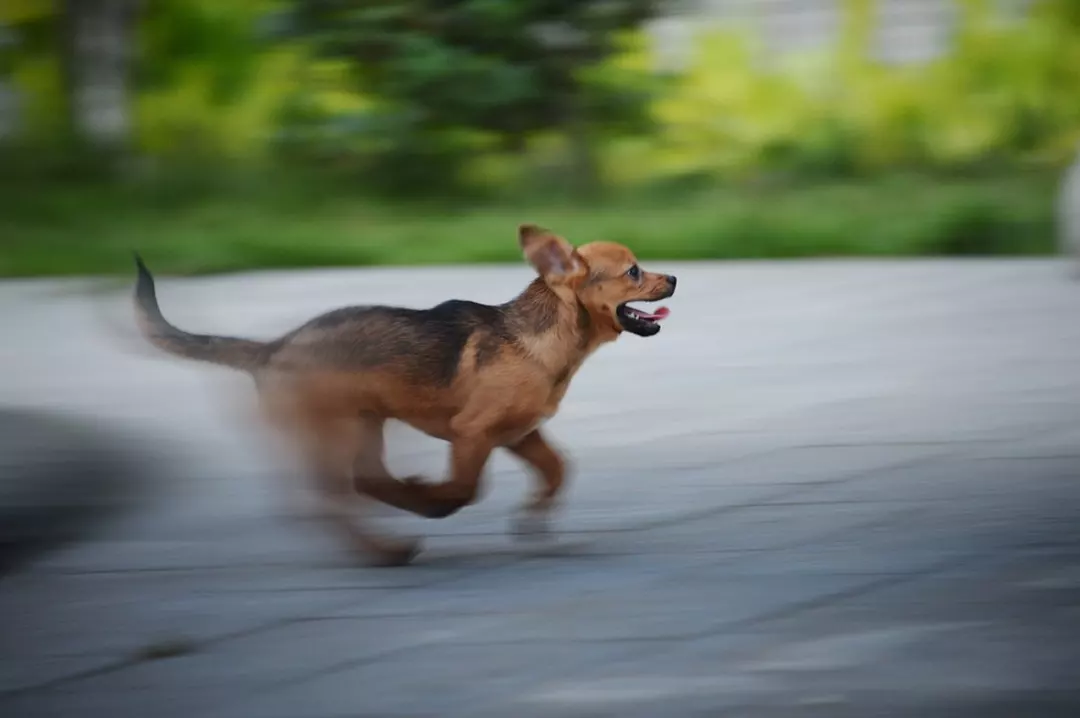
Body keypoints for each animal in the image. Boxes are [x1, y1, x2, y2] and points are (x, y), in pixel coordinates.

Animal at [132, 224, 673, 565]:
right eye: (633, 271)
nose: (672, 277)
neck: (541, 339)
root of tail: (271, 350)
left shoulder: (520, 434)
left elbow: (558, 470)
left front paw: (532, 518)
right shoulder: (473, 434)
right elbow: (465, 488)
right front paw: (436, 501)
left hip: (365, 425)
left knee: (366, 482)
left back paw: (400, 517)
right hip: (337, 432)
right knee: (331, 501)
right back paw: (388, 548)